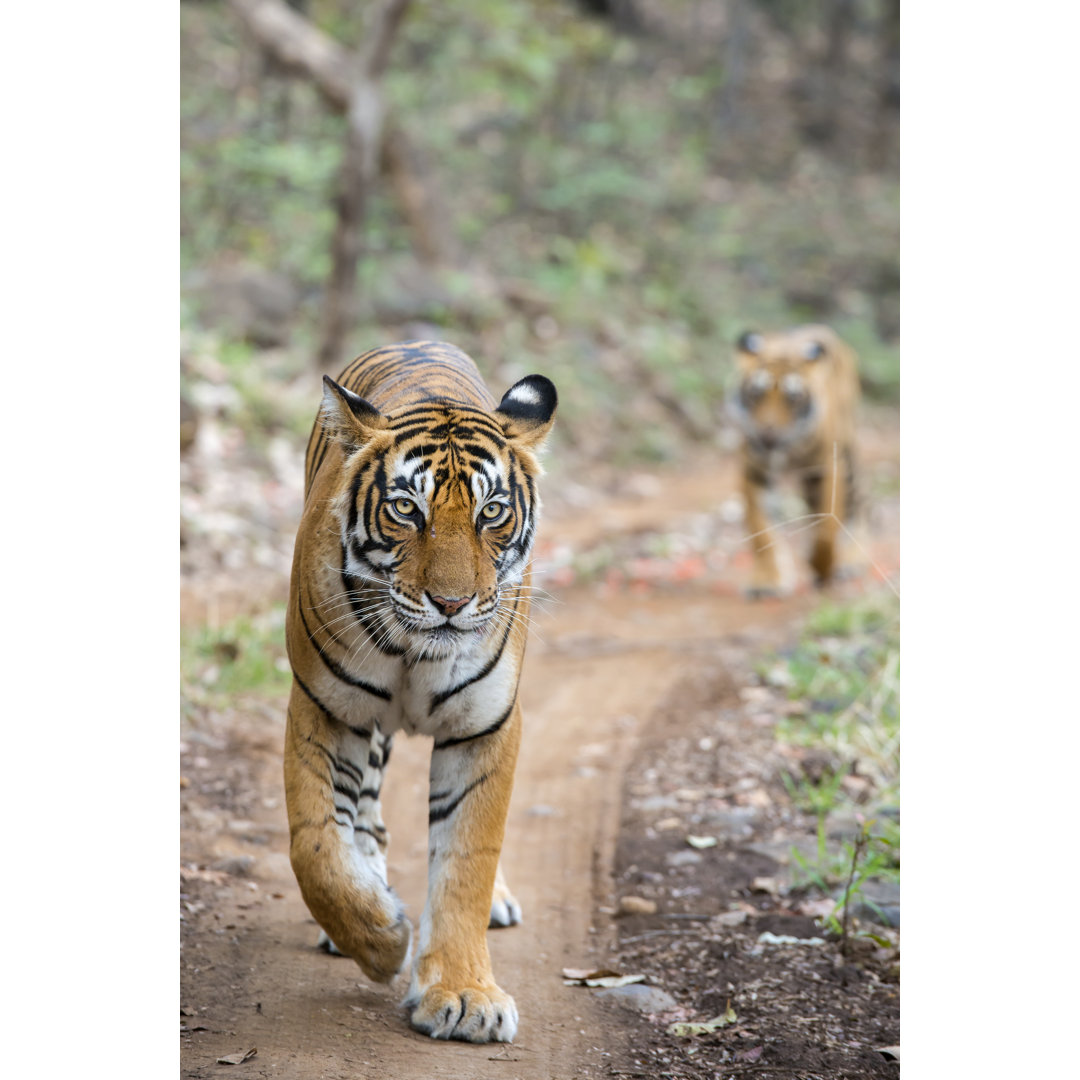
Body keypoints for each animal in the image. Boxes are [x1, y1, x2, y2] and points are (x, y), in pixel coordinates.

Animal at [285, 341, 557, 1041]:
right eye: (407, 508)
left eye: (493, 512)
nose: (452, 604)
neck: (414, 653)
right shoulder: (323, 707)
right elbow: (316, 848)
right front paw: (381, 939)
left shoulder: (485, 725)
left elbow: (468, 858)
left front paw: (464, 996)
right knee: (360, 820)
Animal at [725, 326, 859, 600]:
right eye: (757, 394)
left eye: (793, 398)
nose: (768, 433)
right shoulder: (755, 471)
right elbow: (761, 530)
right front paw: (767, 581)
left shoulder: (826, 469)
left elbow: (827, 530)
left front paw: (821, 567)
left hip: (847, 456)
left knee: (857, 506)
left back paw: (850, 560)